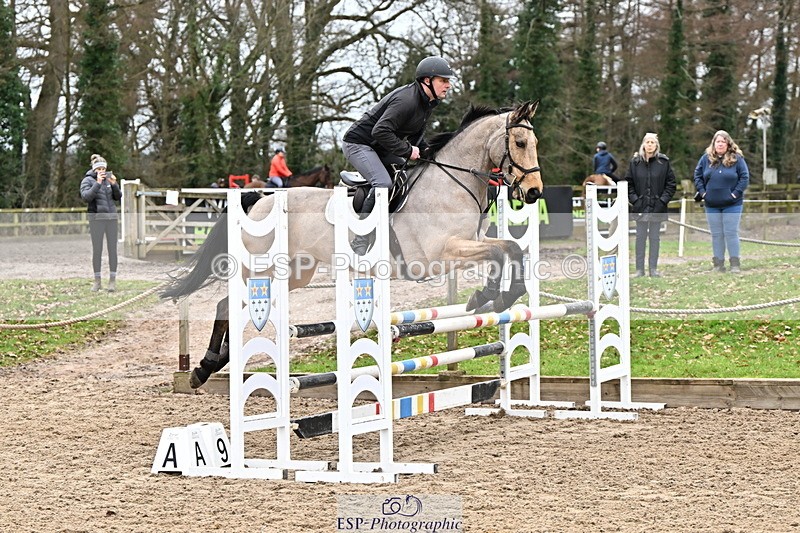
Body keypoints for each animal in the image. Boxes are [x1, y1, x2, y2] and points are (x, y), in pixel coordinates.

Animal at [162, 100, 544, 388]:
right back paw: (203, 369)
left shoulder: (470, 242)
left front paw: (502, 296)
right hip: (259, 267)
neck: (452, 183)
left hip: (294, 272)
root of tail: (261, 200)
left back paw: (212, 365)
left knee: (238, 306)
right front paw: (488, 296)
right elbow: (499, 253)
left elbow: (510, 249)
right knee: (226, 304)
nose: (534, 193)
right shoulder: (439, 254)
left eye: (534, 144)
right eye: (520, 144)